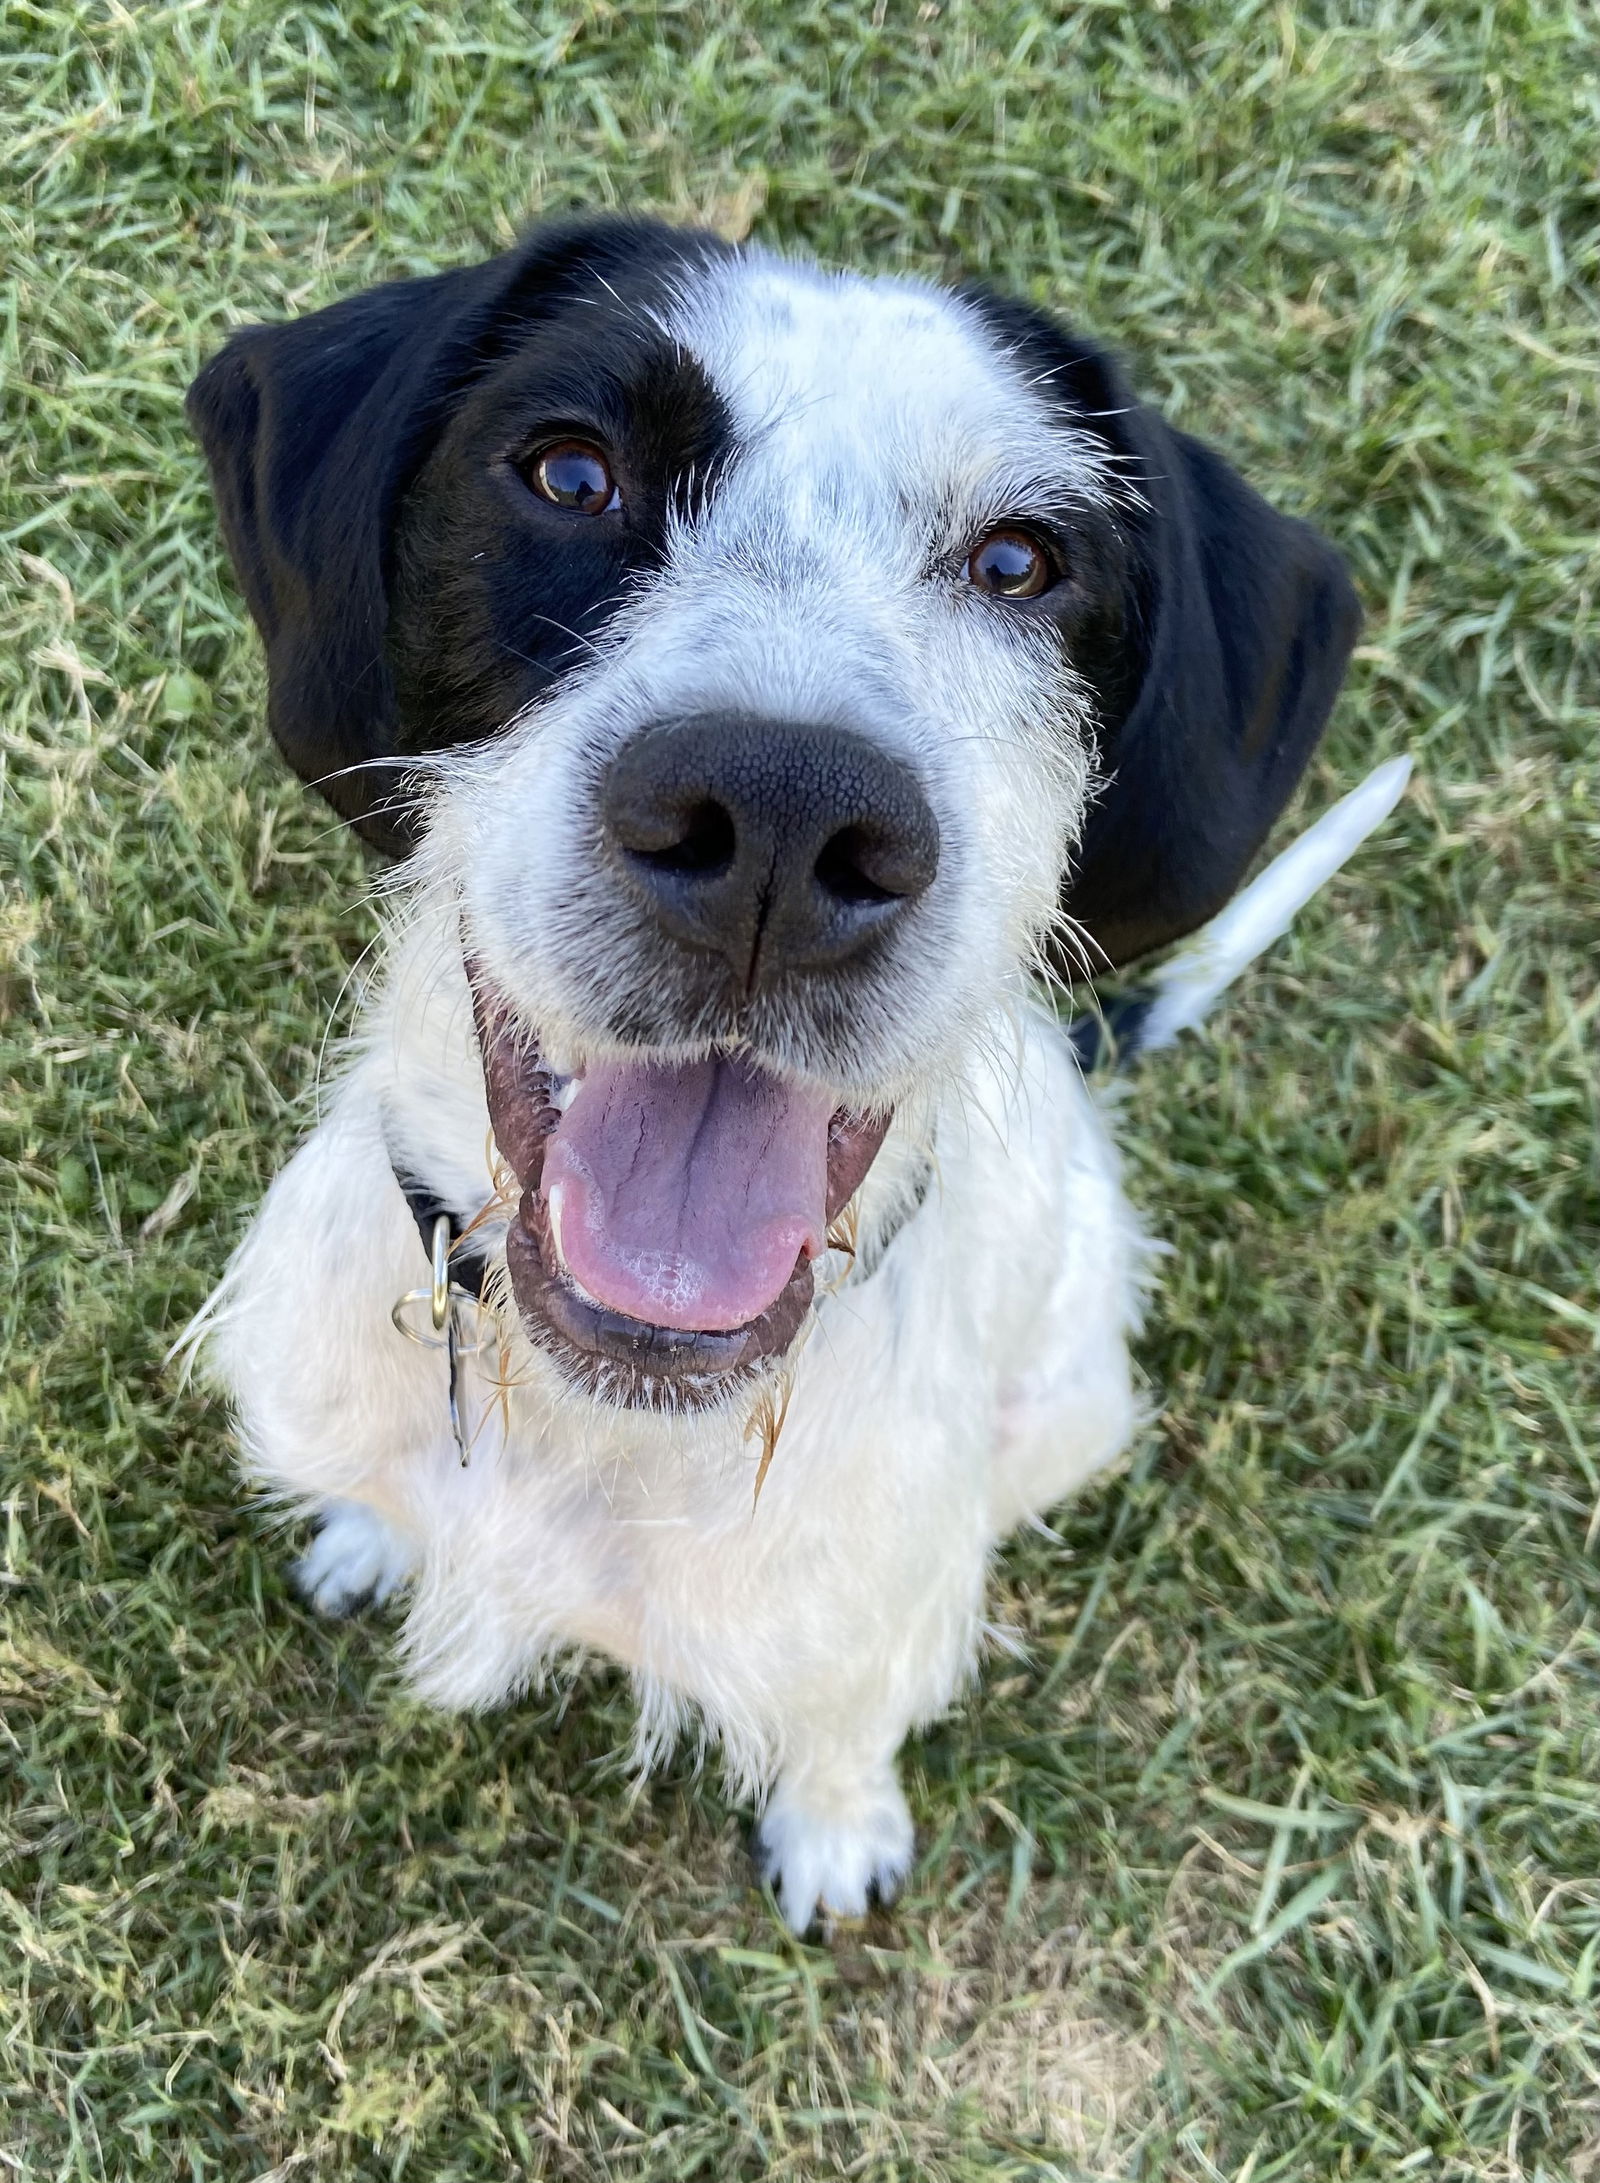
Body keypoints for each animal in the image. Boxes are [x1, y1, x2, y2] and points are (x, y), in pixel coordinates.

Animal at [184, 217, 1396, 1929]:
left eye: (1022, 561)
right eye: (568, 472)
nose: (778, 818)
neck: (599, 1421)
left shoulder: (854, 1630)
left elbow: (843, 1723)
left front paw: (835, 1824)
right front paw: (366, 1525)